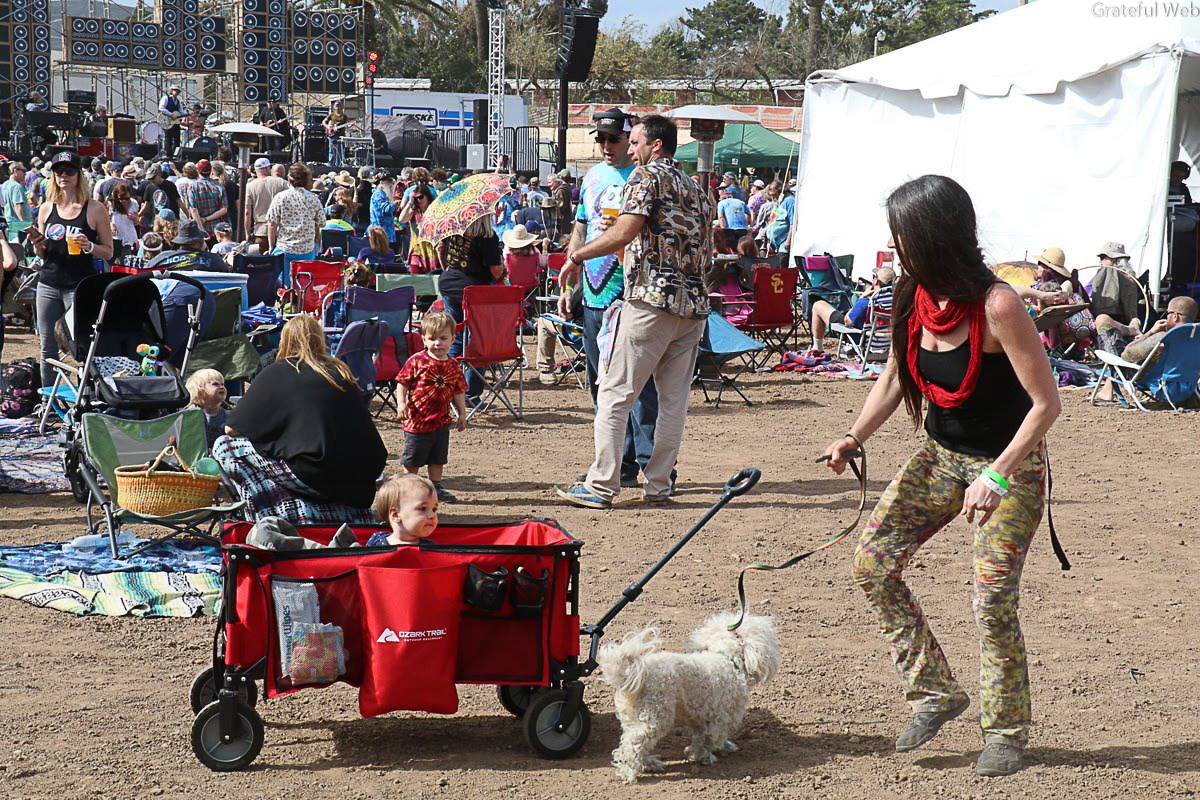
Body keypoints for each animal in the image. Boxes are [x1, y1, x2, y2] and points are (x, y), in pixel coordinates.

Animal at [597, 614, 782, 782]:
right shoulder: (719, 717)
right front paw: (706, 757)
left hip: (633, 717)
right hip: (655, 715)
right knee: (634, 744)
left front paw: (704, 751)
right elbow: (711, 739)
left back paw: (650, 763)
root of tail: (633, 674)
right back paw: (629, 772)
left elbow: (701, 738)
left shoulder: (702, 717)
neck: (727, 660)